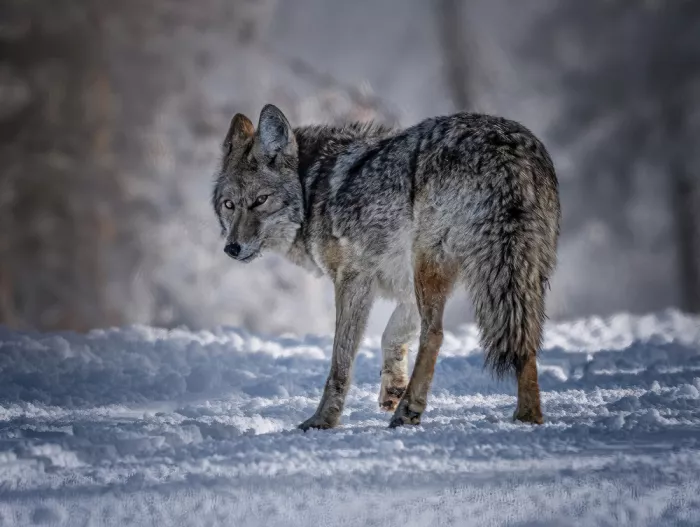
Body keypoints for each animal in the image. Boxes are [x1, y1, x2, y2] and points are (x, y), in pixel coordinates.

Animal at [212, 104, 560, 430]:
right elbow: (390, 335)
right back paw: (528, 416)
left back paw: (408, 412)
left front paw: (324, 419)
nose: (231, 248)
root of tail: (504, 149)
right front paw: (393, 387)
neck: (311, 188)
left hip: (433, 265)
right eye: (229, 205)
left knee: (435, 333)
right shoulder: (403, 287)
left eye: (260, 201)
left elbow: (341, 361)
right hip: (518, 275)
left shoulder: (353, 279)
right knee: (526, 338)